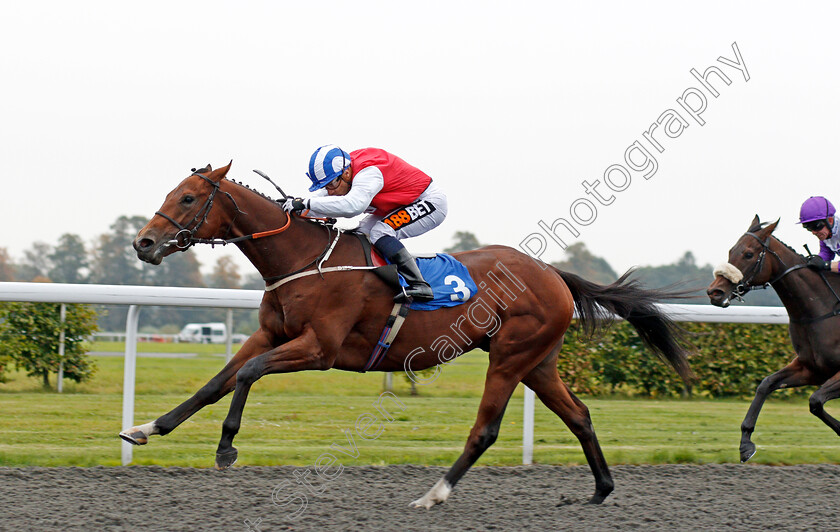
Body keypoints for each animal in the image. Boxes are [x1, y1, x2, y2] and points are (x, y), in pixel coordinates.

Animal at [123, 162, 688, 508]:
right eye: (171, 193)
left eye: (188, 197)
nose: (143, 243)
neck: (304, 261)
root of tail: (552, 273)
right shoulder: (268, 334)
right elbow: (215, 383)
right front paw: (147, 428)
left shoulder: (320, 348)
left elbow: (247, 375)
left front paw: (226, 448)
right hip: (539, 362)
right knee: (580, 415)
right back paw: (599, 491)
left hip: (510, 356)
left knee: (486, 430)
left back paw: (434, 494)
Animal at [708, 215, 840, 462]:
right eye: (731, 251)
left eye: (749, 254)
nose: (715, 292)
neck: (822, 309)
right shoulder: (812, 369)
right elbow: (766, 384)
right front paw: (745, 444)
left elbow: (815, 400)